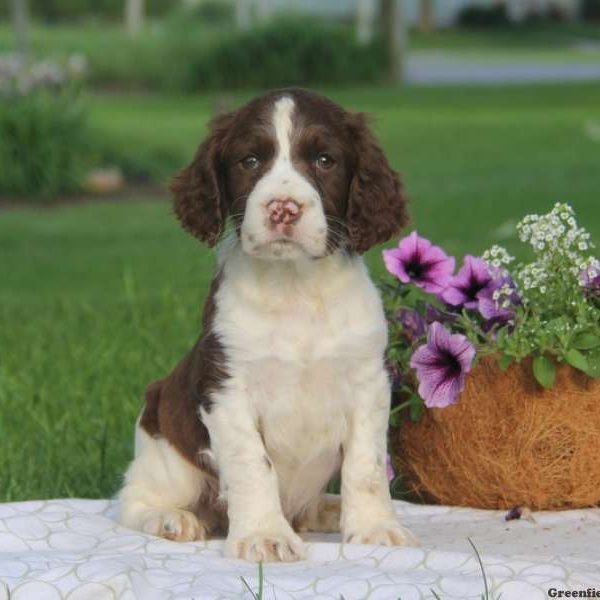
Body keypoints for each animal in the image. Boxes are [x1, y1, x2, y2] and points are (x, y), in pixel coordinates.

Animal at [117, 88, 418, 564]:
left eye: (325, 160)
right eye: (250, 161)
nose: (283, 208)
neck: (295, 287)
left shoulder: (369, 382)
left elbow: (366, 466)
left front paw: (374, 527)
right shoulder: (226, 387)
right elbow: (252, 464)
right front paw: (264, 536)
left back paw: (327, 510)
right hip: (165, 443)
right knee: (134, 498)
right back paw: (172, 519)